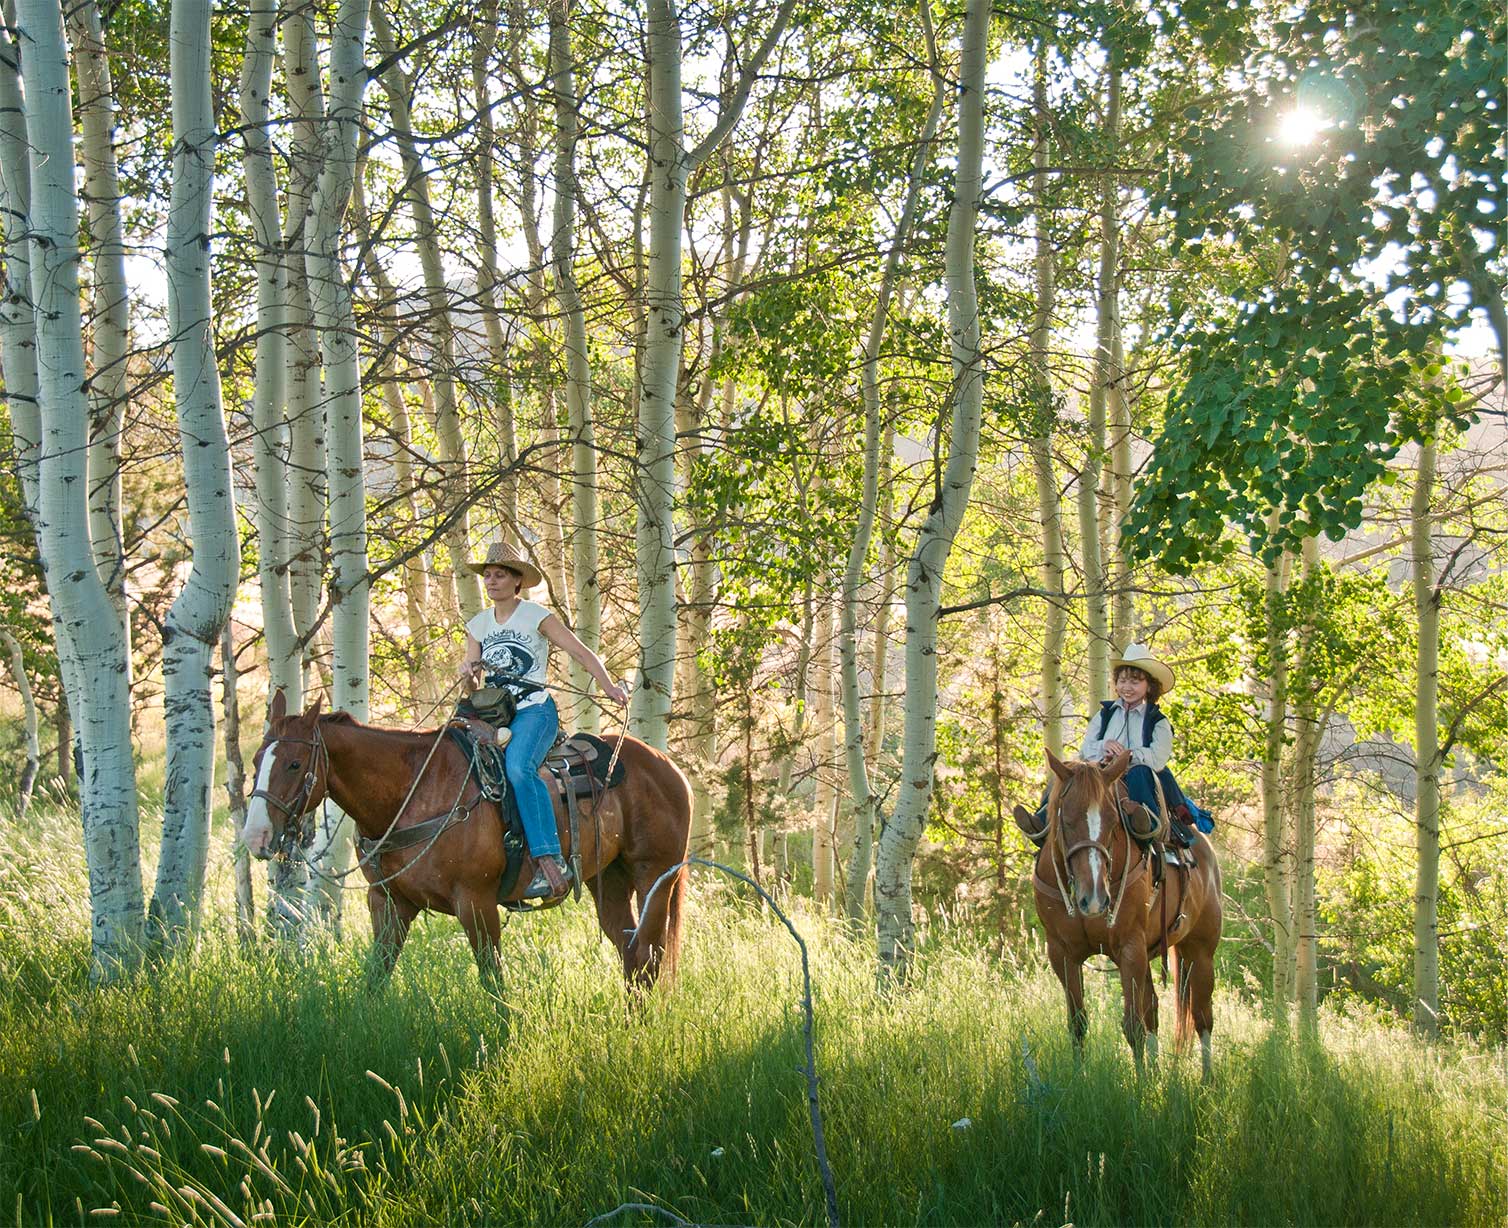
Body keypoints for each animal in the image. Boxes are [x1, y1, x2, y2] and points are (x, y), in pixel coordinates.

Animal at [244, 693, 690, 989]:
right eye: (256, 761)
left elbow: (493, 984)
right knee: (632, 957)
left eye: (294, 763)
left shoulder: (476, 904)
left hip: (654, 879)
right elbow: (375, 979)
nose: (255, 836)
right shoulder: (388, 903)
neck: (412, 793)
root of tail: (669, 767)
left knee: (648, 959)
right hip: (609, 881)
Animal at [1031, 751, 1218, 1074]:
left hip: (1200, 951)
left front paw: (1139, 1084)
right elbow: (1077, 1024)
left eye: (1112, 820)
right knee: (1153, 1009)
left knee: (1202, 1017)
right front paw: (1080, 1078)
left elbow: (1133, 1026)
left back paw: (1207, 1080)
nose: (1094, 899)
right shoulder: (1061, 953)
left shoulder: (1129, 949)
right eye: (1066, 819)